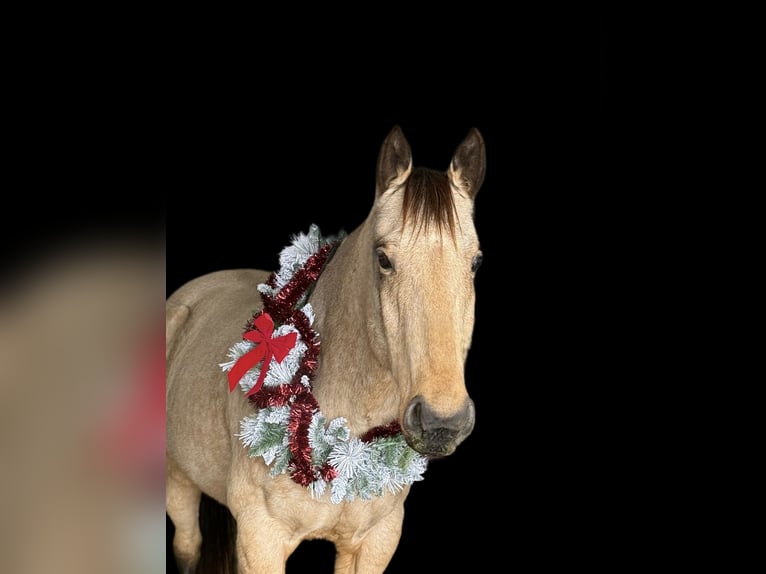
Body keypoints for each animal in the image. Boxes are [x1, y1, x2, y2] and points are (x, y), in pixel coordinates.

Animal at [166, 125, 486, 573]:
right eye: (383, 259)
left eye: (475, 262)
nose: (442, 421)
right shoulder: (260, 540)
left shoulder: (374, 541)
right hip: (177, 485)